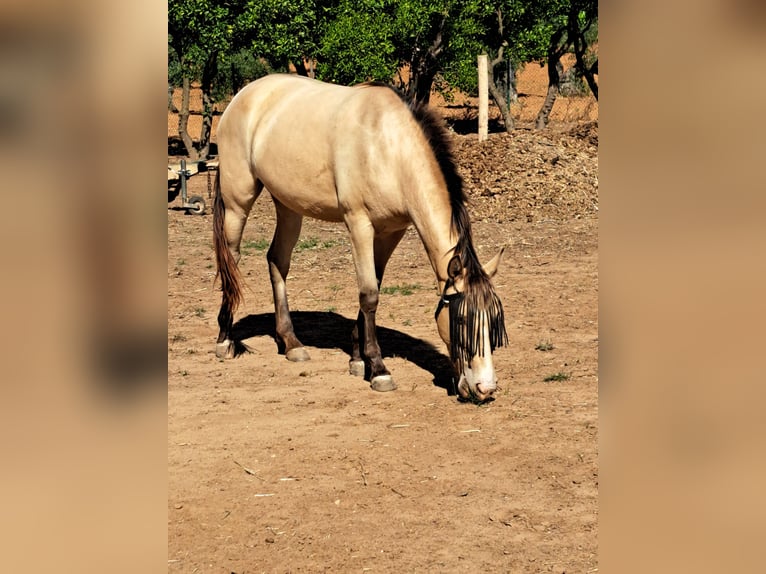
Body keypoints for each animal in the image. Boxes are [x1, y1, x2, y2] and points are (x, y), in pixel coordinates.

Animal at [213, 73, 510, 404]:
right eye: (461, 320)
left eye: (493, 321)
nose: (485, 389)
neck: (388, 147)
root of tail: (243, 96)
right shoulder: (359, 224)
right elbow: (368, 294)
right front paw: (378, 369)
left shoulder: (392, 231)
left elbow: (374, 286)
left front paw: (358, 360)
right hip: (238, 201)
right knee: (232, 260)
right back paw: (225, 340)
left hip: (288, 206)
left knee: (277, 261)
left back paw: (290, 342)